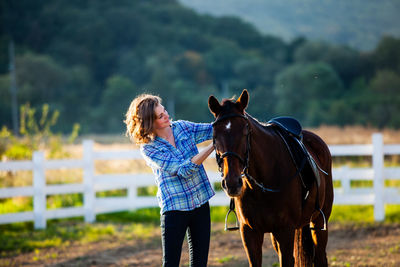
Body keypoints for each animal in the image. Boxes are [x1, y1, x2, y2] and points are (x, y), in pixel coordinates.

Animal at [209, 90, 334, 267]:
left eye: (245, 132)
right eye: (215, 135)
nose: (232, 183)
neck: (262, 185)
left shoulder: (285, 230)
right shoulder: (250, 233)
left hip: (318, 222)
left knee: (320, 257)